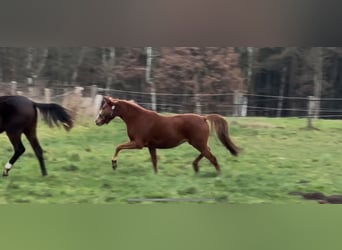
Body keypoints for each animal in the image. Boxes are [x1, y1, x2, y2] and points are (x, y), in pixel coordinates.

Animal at [95, 96, 240, 174]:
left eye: (104, 108)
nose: (97, 121)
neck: (138, 119)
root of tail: (203, 118)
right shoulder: (151, 146)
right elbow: (154, 161)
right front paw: (155, 175)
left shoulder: (138, 144)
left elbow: (118, 147)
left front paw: (114, 164)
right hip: (198, 143)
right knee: (207, 152)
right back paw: (195, 167)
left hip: (198, 143)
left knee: (211, 157)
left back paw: (218, 174)